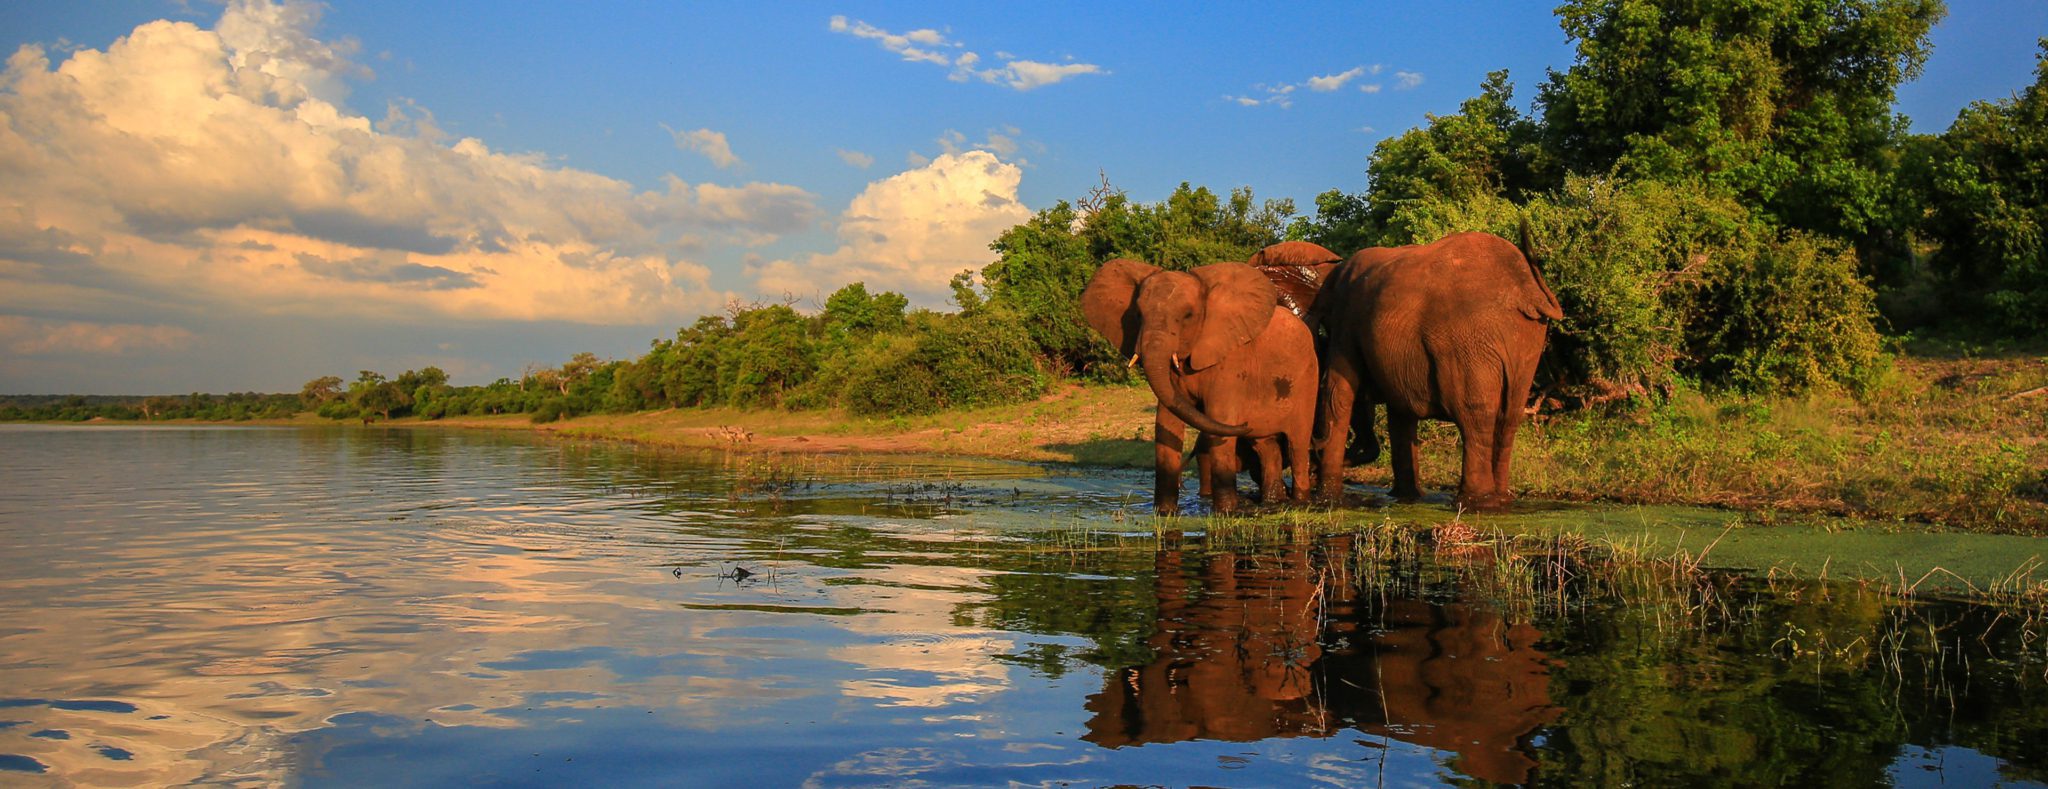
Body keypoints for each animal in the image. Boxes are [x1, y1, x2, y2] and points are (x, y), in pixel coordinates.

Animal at [1081, 258, 1318, 512]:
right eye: (1138, 314)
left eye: (1188, 315)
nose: (1245, 421)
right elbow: (1166, 422)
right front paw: (1164, 513)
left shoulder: (1231, 361)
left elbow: (1220, 417)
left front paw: (1226, 513)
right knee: (1266, 446)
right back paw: (1273, 501)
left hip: (1307, 379)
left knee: (1296, 444)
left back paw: (1299, 502)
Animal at [1302, 230, 1556, 508]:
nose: (1313, 456)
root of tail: (1525, 288)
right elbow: (1399, 412)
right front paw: (1406, 498)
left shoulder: (1346, 318)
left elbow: (1337, 391)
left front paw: (1327, 500)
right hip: (1526, 338)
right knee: (1509, 415)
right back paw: (1499, 499)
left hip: (1468, 339)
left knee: (1475, 414)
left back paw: (1474, 502)